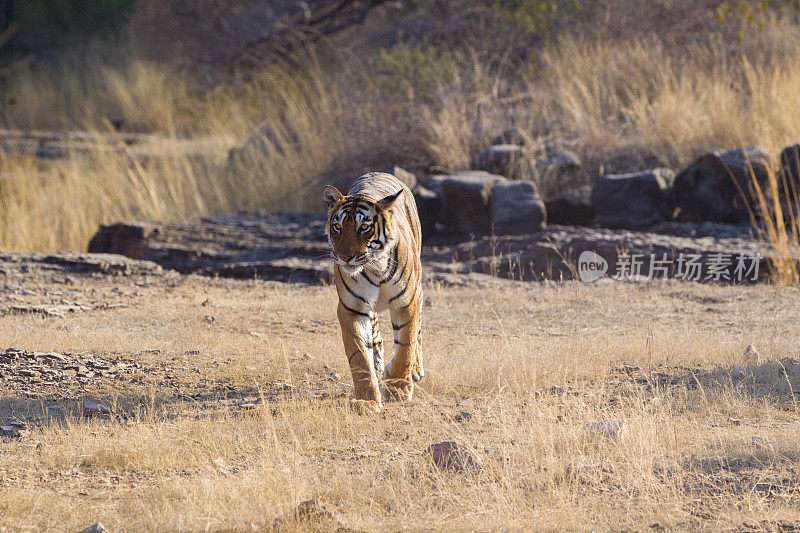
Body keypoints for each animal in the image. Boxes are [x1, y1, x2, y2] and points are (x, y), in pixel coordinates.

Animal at [322, 170, 424, 412]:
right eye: (337, 227)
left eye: (364, 227)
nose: (344, 257)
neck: (375, 267)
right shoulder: (351, 308)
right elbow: (359, 356)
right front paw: (367, 399)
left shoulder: (406, 303)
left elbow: (405, 346)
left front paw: (398, 389)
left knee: (418, 333)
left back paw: (416, 370)